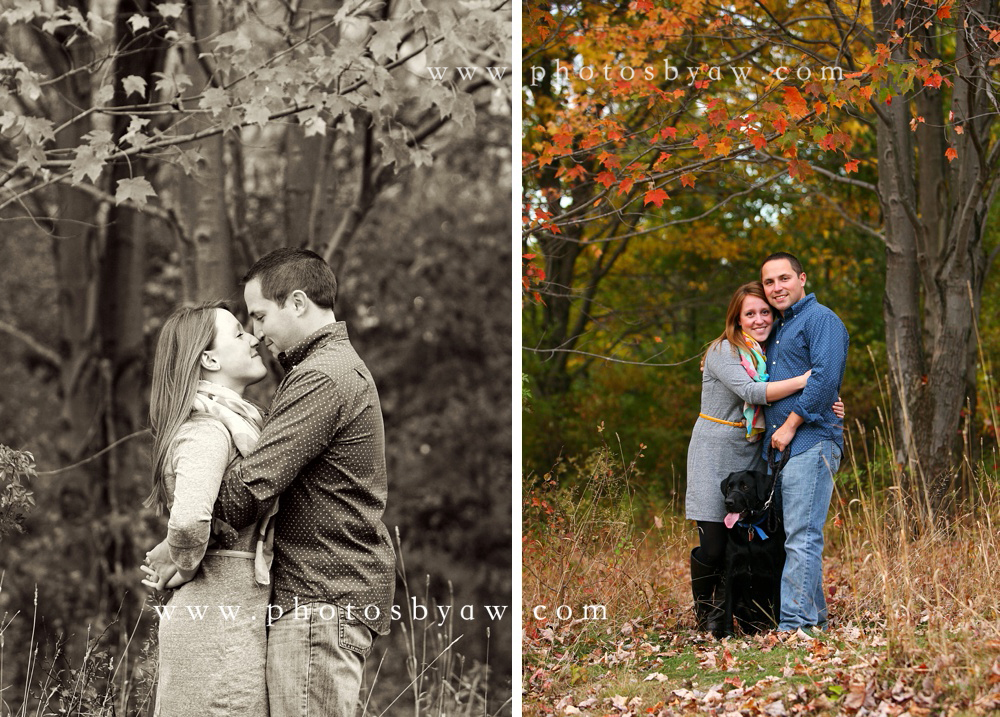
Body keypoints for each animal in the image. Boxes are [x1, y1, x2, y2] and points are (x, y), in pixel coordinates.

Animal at [720, 450, 788, 636]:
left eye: (745, 487)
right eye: (729, 487)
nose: (728, 502)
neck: (750, 529)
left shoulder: (775, 572)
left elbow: (776, 605)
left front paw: (775, 630)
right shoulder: (730, 572)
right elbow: (727, 609)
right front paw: (727, 635)